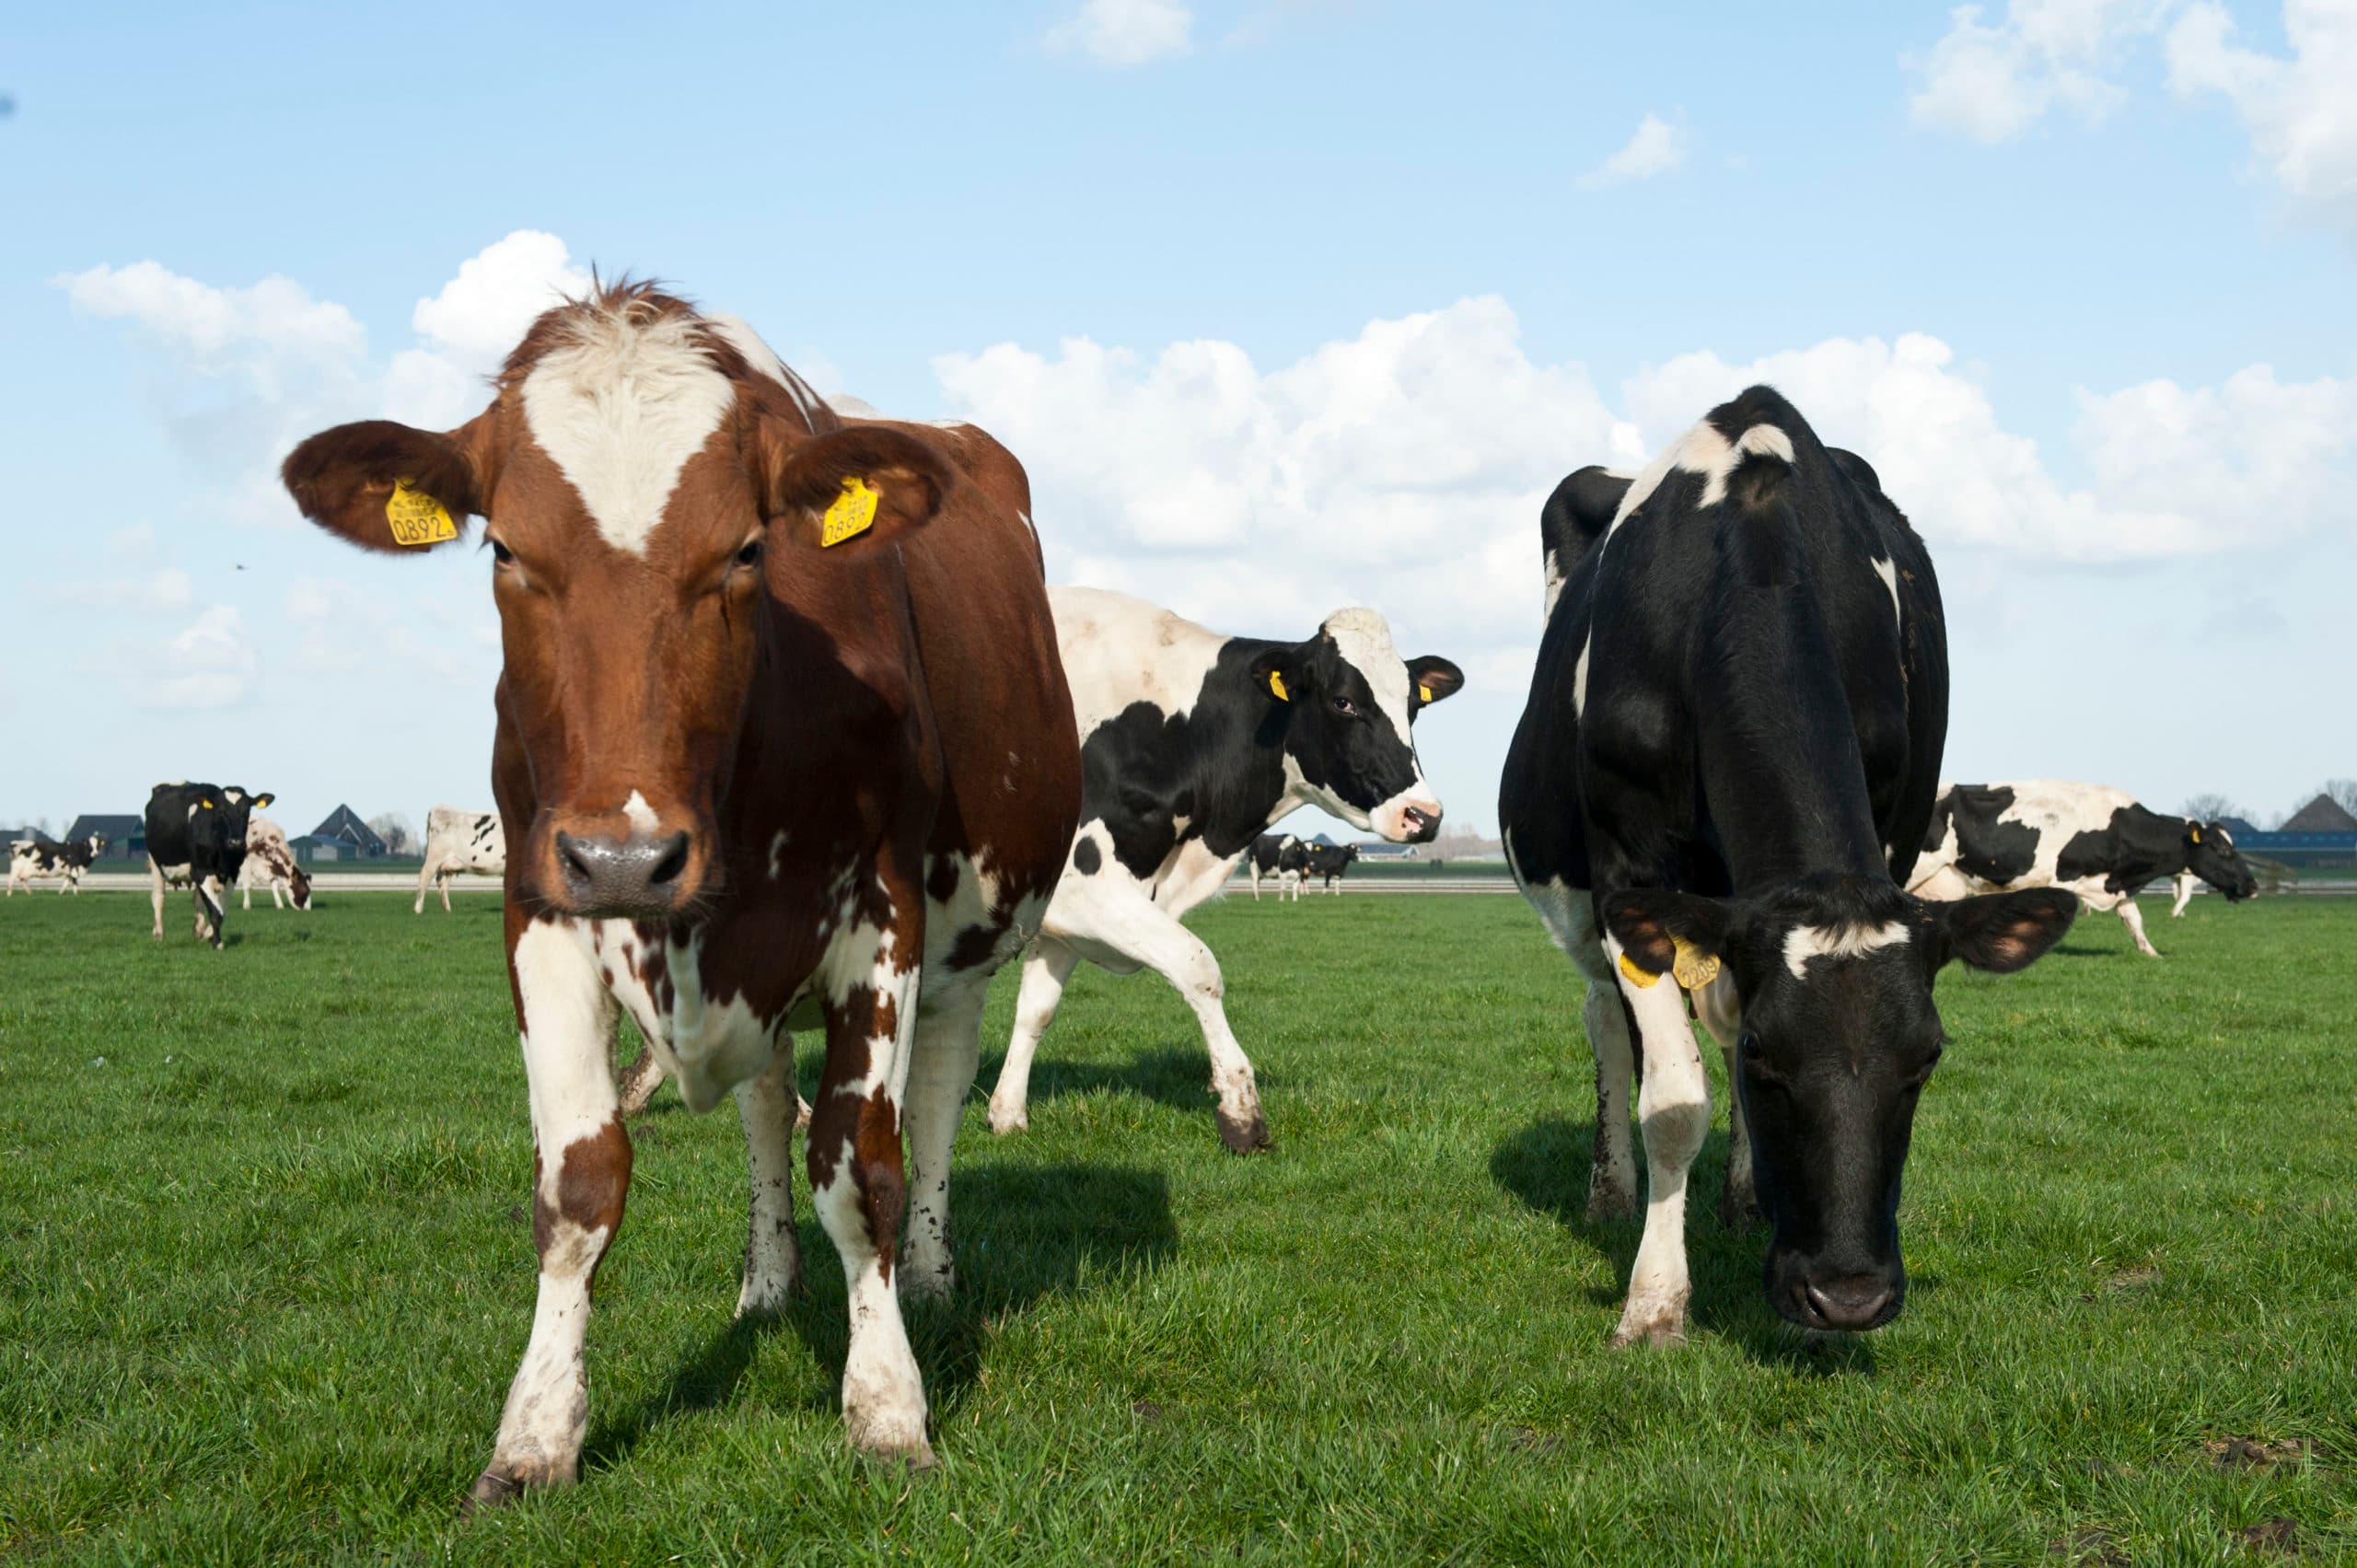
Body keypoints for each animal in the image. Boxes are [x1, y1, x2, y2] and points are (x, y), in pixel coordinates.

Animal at [146, 783, 273, 947]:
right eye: (221, 811)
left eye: (247, 811)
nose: (236, 842)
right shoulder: (200, 872)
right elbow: (215, 912)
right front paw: (217, 942)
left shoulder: (232, 873)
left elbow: (221, 909)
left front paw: (208, 934)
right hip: (155, 862)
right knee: (158, 897)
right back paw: (158, 934)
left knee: (197, 899)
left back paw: (198, 930)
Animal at [279, 282, 1080, 1505]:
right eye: (503, 547)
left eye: (747, 549)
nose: (628, 858)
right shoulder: (541, 908)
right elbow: (580, 1184)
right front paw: (533, 1435)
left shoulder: (881, 914)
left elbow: (863, 1170)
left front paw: (890, 1406)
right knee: (762, 1104)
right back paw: (766, 1282)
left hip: (970, 938)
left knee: (939, 1099)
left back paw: (933, 1281)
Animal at [983, 586, 1463, 1152]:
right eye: (1343, 701)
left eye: (1412, 707)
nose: (1424, 815)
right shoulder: (1083, 887)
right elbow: (1198, 966)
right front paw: (1241, 1109)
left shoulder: (1062, 915)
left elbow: (1036, 1009)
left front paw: (1007, 1114)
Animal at [1500, 388, 2075, 1346]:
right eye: (1771, 1054)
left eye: (1928, 1057)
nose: (1848, 1296)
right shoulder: (1626, 871)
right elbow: (1674, 1097)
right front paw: (1653, 1302)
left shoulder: (1890, 835)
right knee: (1605, 1021)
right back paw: (1612, 1192)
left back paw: (1741, 1202)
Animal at [1908, 782, 2257, 957]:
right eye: (2224, 850)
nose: (2252, 886)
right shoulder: (2064, 877)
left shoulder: (2118, 884)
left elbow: (2134, 919)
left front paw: (2150, 952)